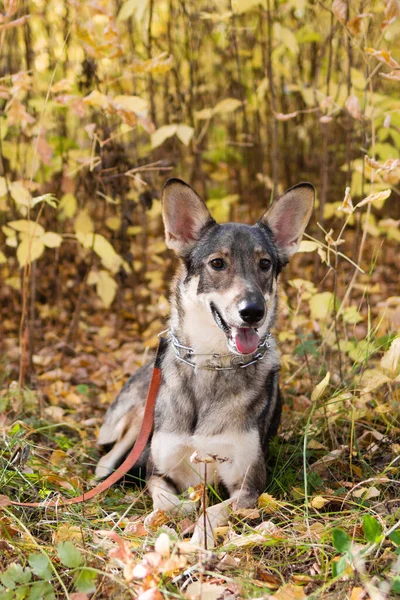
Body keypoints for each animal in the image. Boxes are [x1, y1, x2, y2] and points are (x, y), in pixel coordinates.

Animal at [95, 176, 314, 548]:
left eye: (265, 264)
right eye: (217, 264)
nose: (253, 311)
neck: (213, 365)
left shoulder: (248, 487)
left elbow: (211, 511)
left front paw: (197, 543)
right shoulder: (159, 472)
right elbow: (169, 502)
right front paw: (176, 520)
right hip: (138, 420)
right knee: (109, 460)